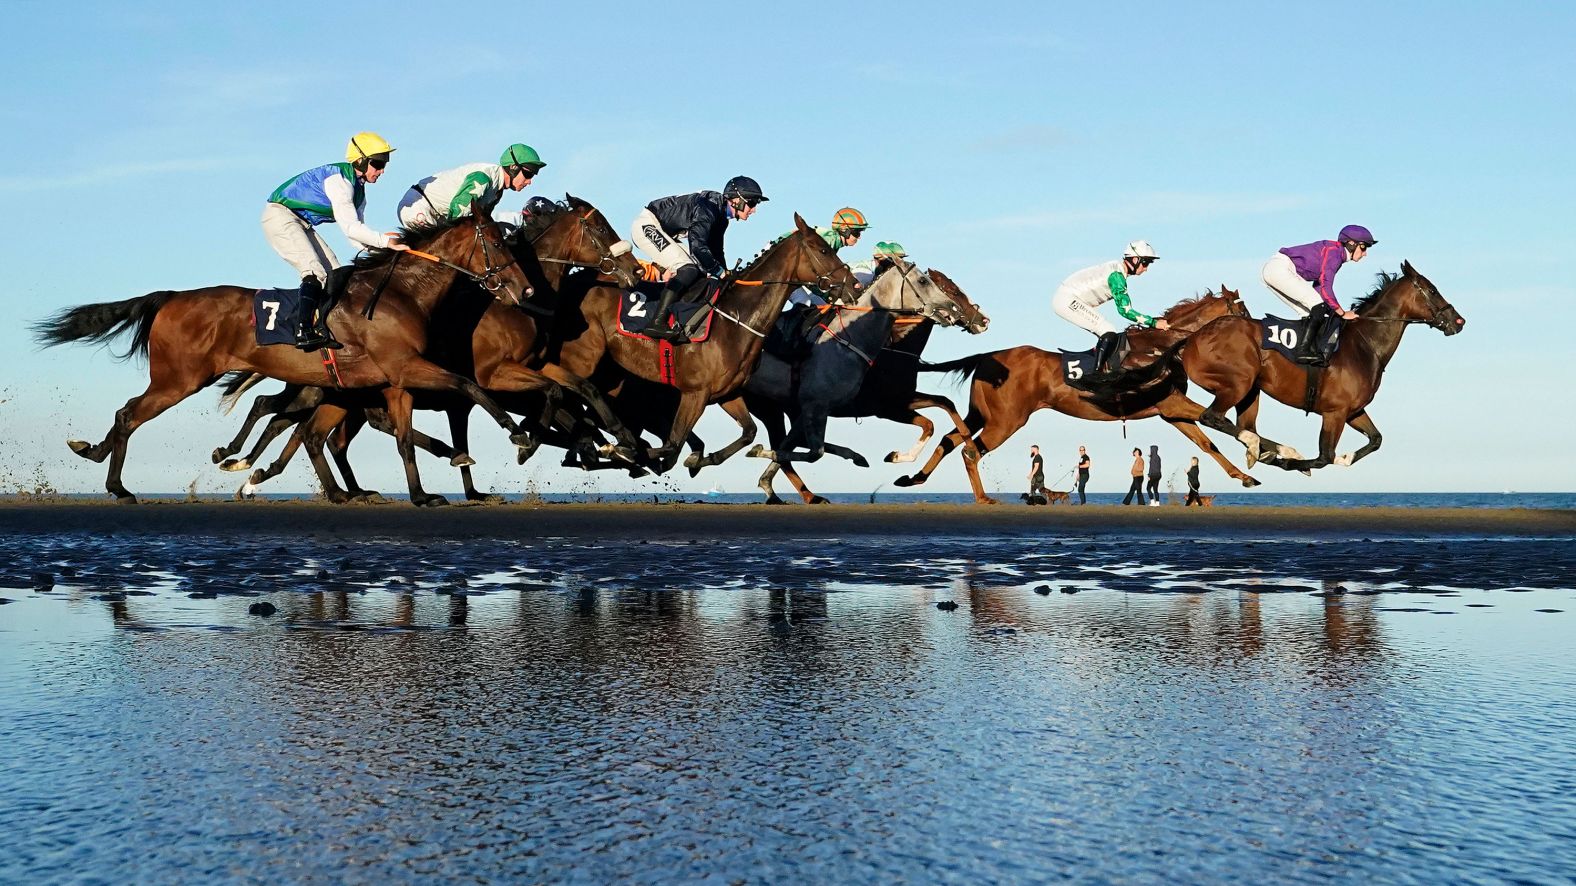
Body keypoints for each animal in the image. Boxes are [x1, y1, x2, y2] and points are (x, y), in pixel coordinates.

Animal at [30, 203, 532, 501]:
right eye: (497, 241)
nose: (525, 290)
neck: (402, 294)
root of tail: (171, 297)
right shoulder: (406, 368)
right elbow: (468, 386)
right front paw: (517, 436)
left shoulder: (393, 381)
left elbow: (405, 438)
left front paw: (423, 494)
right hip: (179, 379)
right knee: (130, 413)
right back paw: (118, 486)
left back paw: (95, 452)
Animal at [206, 201, 643, 504]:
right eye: (600, 226)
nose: (637, 270)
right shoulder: (494, 374)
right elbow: (550, 402)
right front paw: (530, 442)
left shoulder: (532, 365)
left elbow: (580, 388)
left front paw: (619, 440)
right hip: (329, 389)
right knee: (285, 417)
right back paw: (250, 465)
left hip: (340, 392)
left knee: (303, 428)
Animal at [888, 286, 1267, 501]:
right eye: (1242, 310)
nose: (1259, 333)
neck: (1161, 348)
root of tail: (987, 356)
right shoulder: (1172, 403)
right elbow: (1221, 427)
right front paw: (1265, 452)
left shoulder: (1169, 411)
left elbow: (1207, 444)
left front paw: (1245, 476)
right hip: (1006, 420)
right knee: (971, 451)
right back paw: (982, 499)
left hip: (981, 413)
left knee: (952, 439)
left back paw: (913, 477)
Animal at [1185, 260, 1462, 472]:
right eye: (1432, 290)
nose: (1459, 321)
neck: (1363, 344)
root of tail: (1193, 338)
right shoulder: (1334, 412)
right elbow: (1323, 457)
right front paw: (1295, 463)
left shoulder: (1352, 411)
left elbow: (1375, 439)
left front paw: (1346, 458)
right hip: (1238, 383)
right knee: (1212, 417)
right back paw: (1269, 449)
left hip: (1251, 391)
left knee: (1242, 426)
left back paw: (1264, 450)